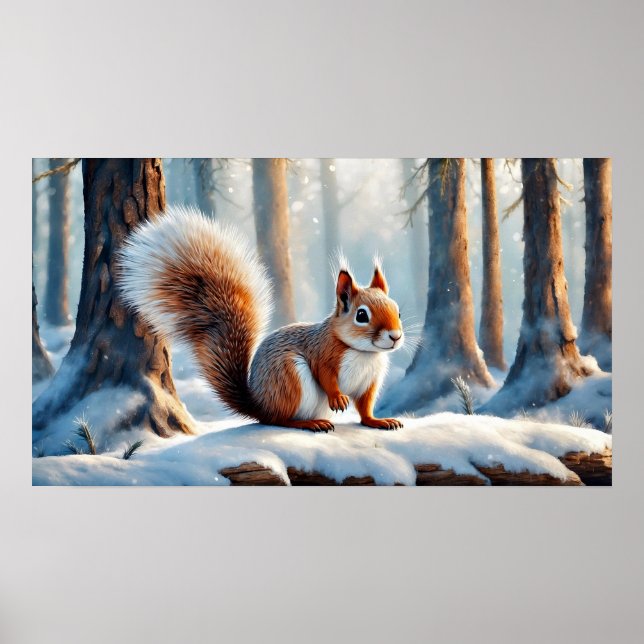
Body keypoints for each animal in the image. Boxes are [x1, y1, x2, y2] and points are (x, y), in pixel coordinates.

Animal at [117, 206, 405, 432]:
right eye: (361, 315)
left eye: (398, 311)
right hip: (289, 377)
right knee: (280, 419)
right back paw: (308, 423)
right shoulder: (323, 353)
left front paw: (378, 421)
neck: (363, 353)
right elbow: (325, 376)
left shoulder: (371, 381)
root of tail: (260, 405)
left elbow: (365, 407)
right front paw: (337, 398)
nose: (395, 336)